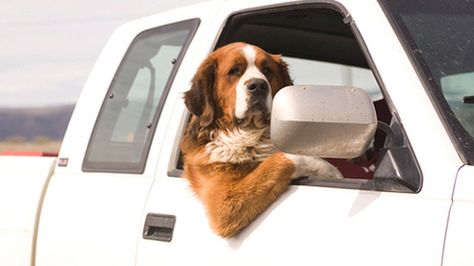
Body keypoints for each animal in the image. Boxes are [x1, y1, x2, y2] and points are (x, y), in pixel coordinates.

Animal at [181, 42, 340, 238]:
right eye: (234, 71)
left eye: (267, 70)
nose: (258, 85)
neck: (251, 137)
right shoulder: (224, 203)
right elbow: (279, 160)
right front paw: (328, 169)